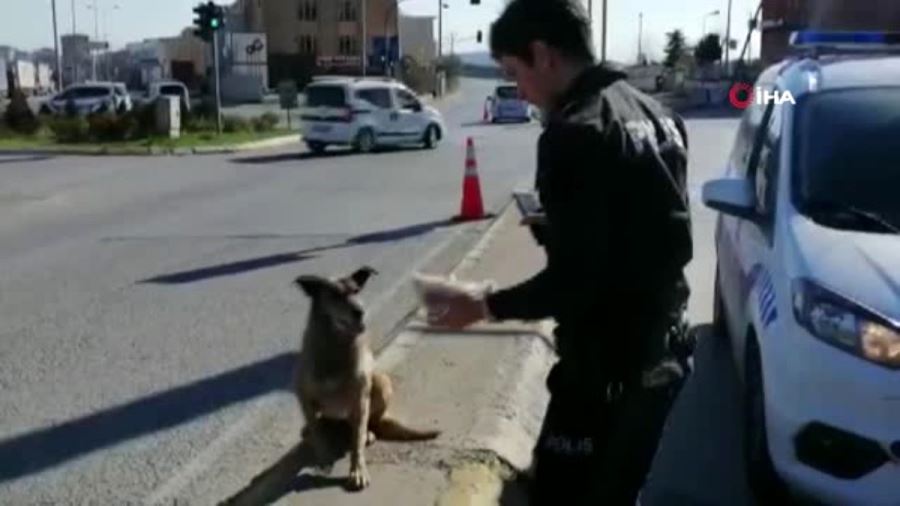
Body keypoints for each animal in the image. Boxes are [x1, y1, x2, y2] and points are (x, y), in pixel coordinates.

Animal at [296, 266, 440, 488]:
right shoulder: (303, 396)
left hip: (380, 382)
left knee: (367, 425)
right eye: (335, 295)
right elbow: (318, 433)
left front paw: (357, 470)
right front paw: (324, 456)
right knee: (320, 426)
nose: (360, 311)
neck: (336, 347)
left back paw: (368, 434)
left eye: (356, 290)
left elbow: (357, 442)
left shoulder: (359, 399)